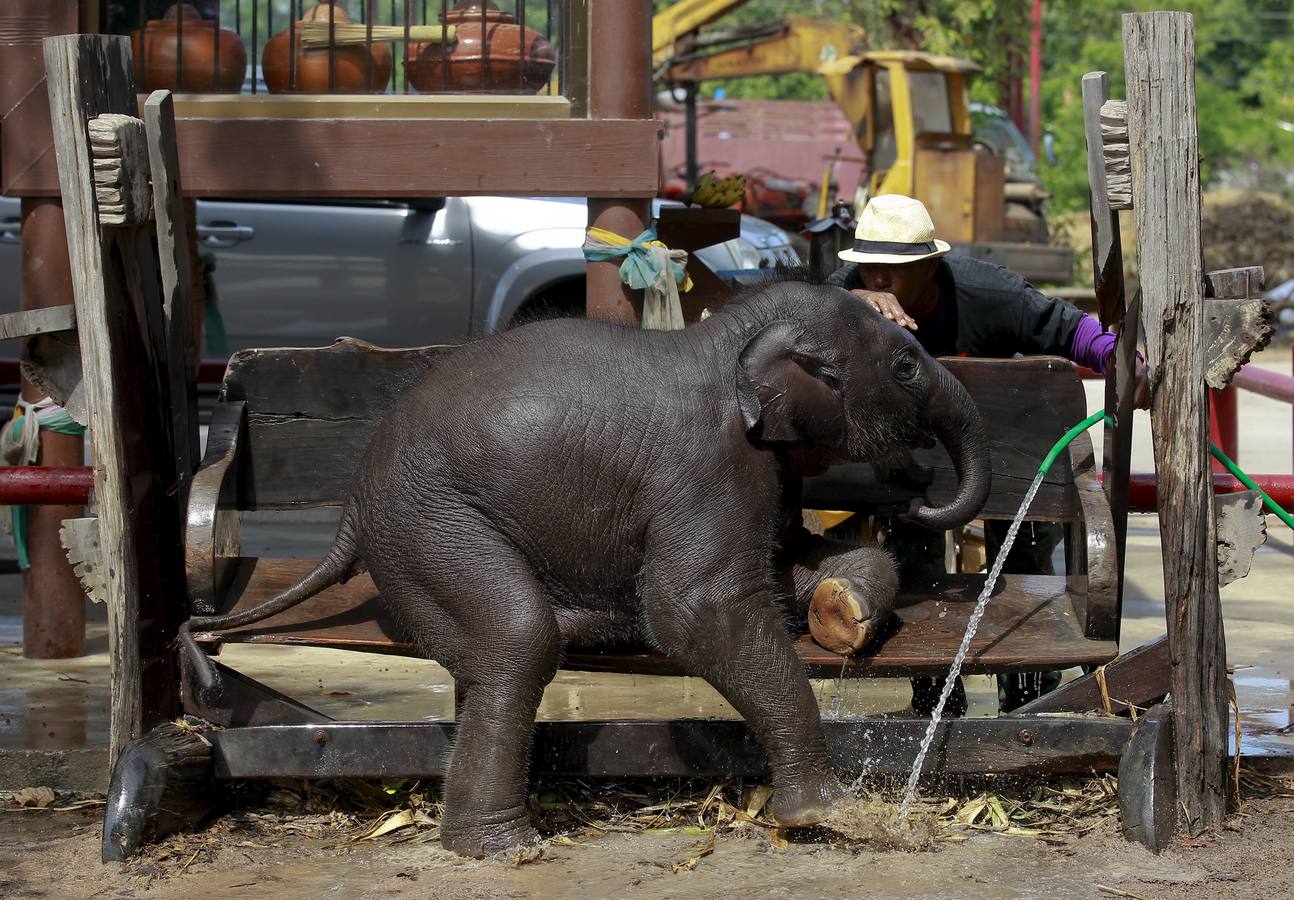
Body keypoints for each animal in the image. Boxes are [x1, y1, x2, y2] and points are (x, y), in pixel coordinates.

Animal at [179, 271, 991, 858]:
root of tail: (351, 509)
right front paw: (832, 816)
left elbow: (786, 564)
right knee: (516, 638)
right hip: (429, 523)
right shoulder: (710, 466)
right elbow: (696, 608)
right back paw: (504, 848)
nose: (920, 494)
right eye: (907, 365)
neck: (726, 340)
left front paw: (838, 613)